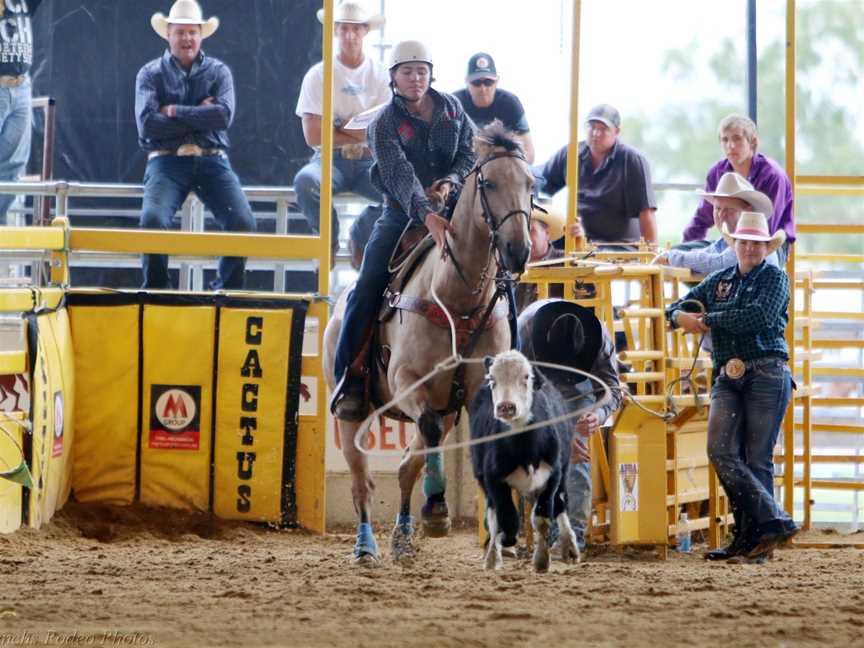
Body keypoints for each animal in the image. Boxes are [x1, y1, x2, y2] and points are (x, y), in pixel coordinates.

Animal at [324, 121, 532, 560]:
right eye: (489, 182)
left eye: (530, 183)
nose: (517, 249)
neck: (457, 301)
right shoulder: (407, 381)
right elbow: (430, 433)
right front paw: (436, 508)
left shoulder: (473, 393)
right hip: (352, 413)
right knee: (362, 480)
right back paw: (366, 545)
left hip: (444, 406)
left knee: (407, 466)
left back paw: (404, 535)